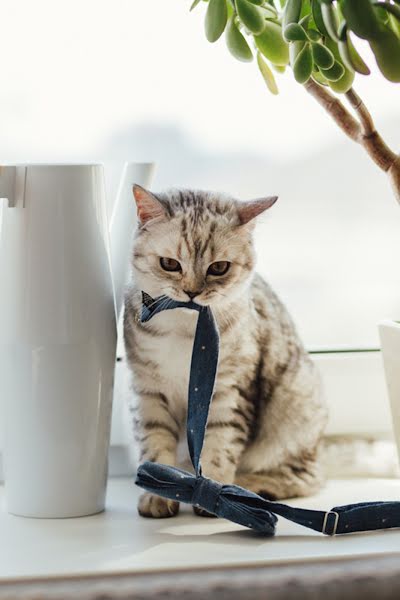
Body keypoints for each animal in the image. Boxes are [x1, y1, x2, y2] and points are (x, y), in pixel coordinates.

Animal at [124, 185, 328, 516]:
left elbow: (220, 444)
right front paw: (158, 496)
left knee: (307, 476)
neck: (187, 332)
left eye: (219, 268)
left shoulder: (230, 391)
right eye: (170, 264)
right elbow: (154, 445)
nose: (192, 292)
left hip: (296, 409)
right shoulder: (148, 391)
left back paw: (253, 486)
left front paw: (214, 495)